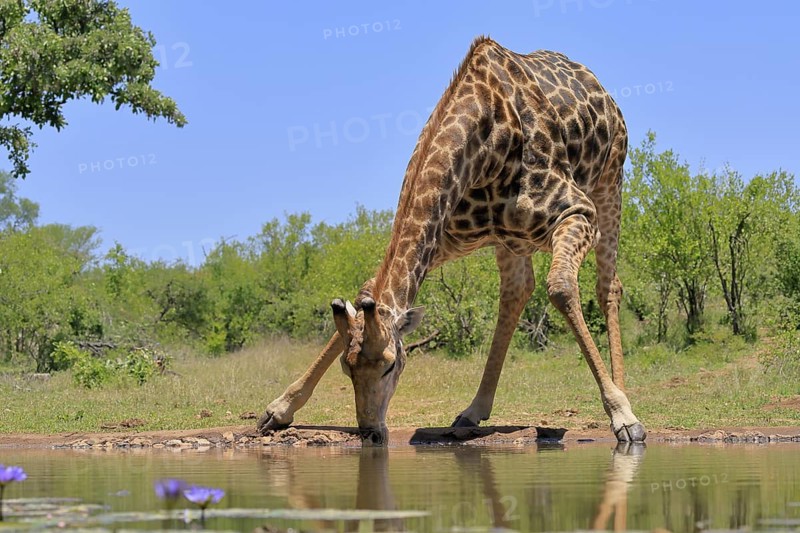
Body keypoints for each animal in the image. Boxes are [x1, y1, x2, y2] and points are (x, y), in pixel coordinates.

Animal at [258, 36, 646, 445]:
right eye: (347, 369)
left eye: (390, 365)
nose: (371, 433)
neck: (484, 147)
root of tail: (601, 89)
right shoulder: (444, 239)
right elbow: (366, 288)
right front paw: (278, 409)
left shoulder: (577, 212)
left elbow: (560, 288)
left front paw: (623, 416)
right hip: (512, 240)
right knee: (517, 291)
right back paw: (473, 411)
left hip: (610, 183)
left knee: (608, 285)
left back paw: (623, 396)